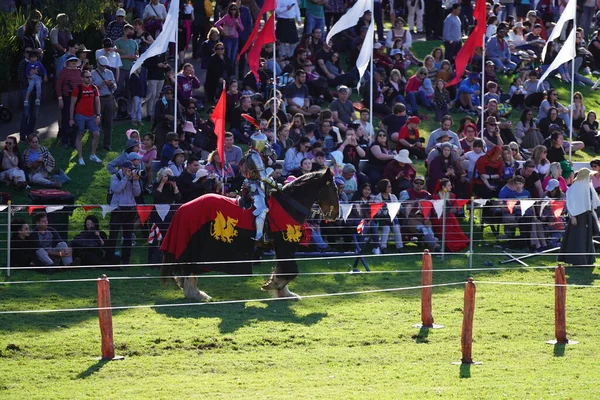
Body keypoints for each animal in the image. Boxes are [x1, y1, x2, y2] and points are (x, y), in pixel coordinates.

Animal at [159, 168, 340, 300]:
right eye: (333, 189)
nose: (335, 215)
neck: (288, 205)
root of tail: (182, 208)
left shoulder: (281, 247)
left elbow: (281, 268)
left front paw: (283, 292)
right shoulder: (285, 244)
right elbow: (290, 270)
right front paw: (274, 286)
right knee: (188, 268)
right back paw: (195, 293)